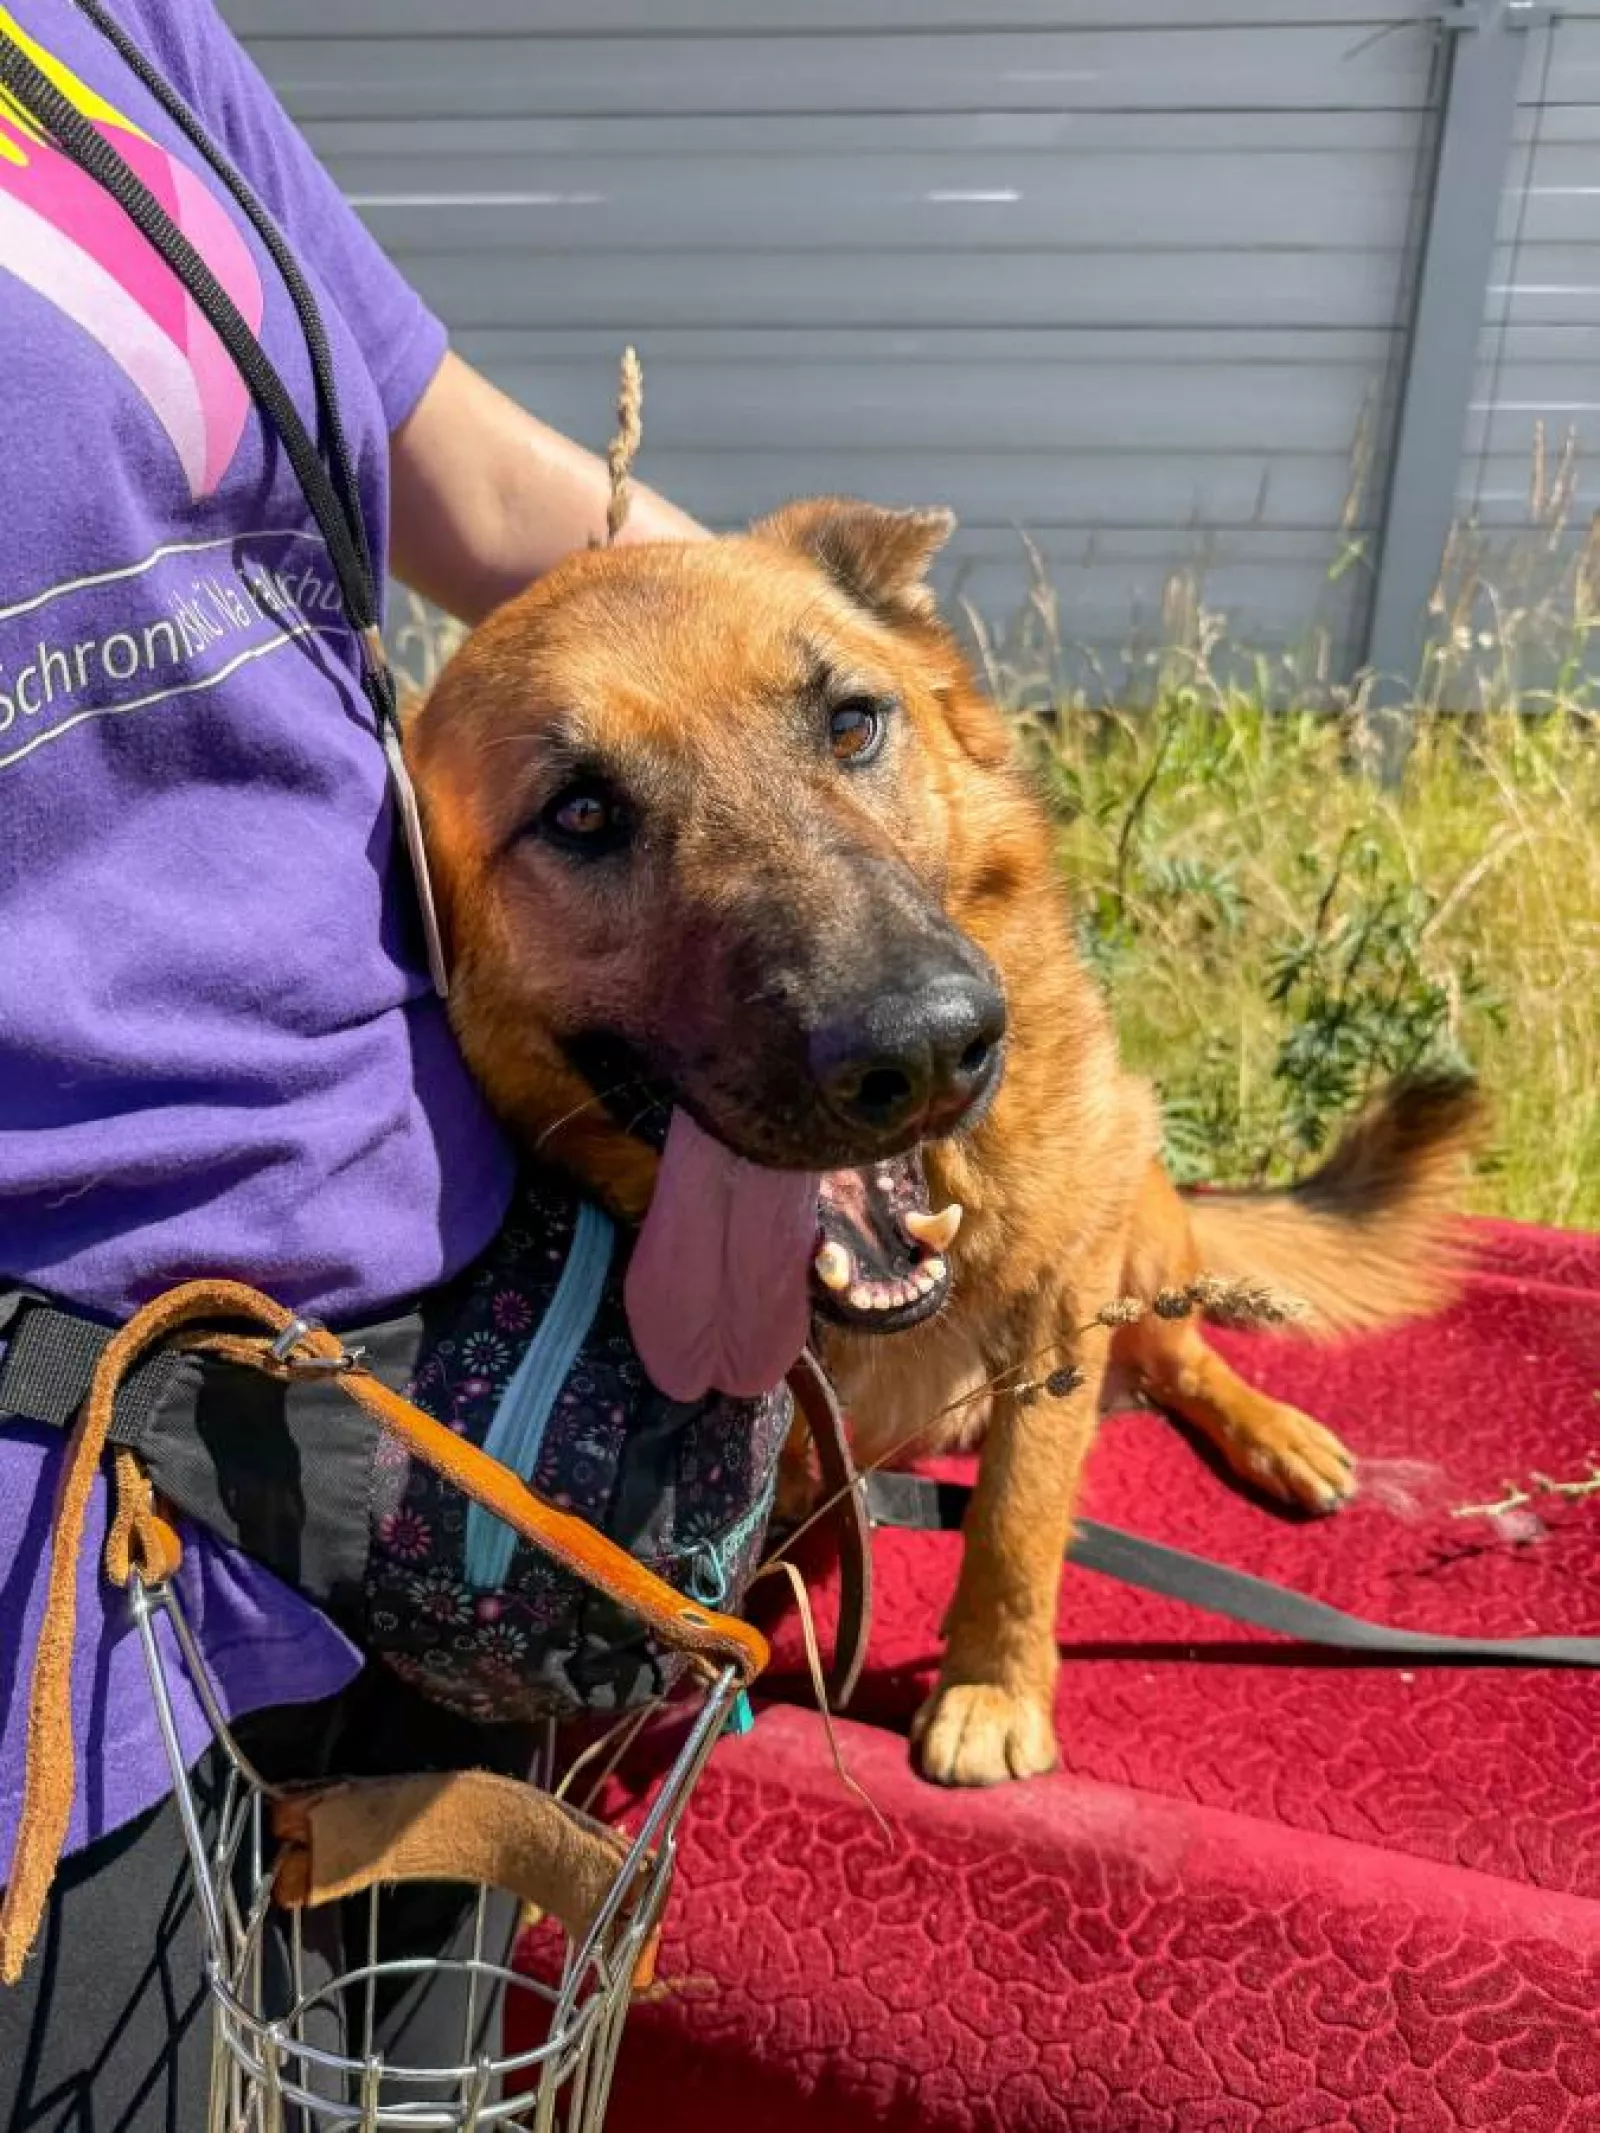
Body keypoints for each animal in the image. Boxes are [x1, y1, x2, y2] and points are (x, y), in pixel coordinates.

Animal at [405, 499, 1480, 1787]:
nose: (924, 1051)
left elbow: (1018, 1519)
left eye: (852, 723)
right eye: (579, 813)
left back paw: (1273, 1433)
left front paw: (990, 1688)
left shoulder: (1064, 1302)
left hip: (1137, 1199)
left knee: (1184, 1350)